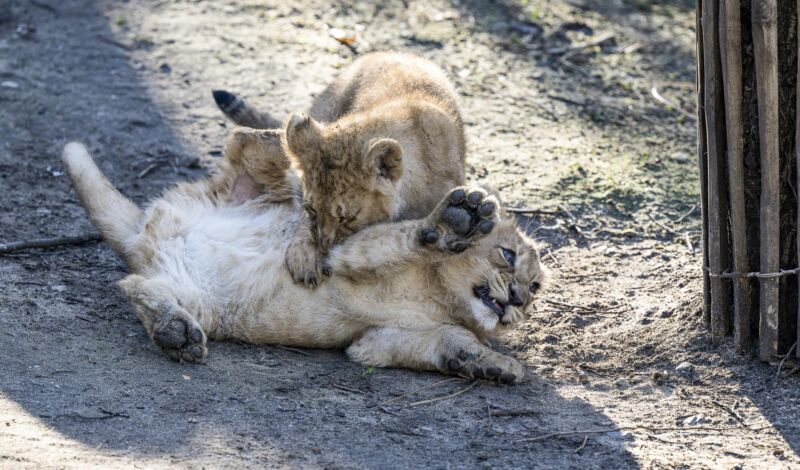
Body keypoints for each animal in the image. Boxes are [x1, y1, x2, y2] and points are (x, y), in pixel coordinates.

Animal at [61, 139, 546, 383]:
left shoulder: (375, 342)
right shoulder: (346, 256)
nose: (518, 300)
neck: (439, 297)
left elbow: (451, 345)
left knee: (135, 286)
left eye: (536, 289)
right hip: (255, 190)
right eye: (508, 256)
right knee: (250, 147)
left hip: (199, 301)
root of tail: (146, 231)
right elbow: (409, 237)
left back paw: (175, 333)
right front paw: (460, 221)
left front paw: (496, 367)